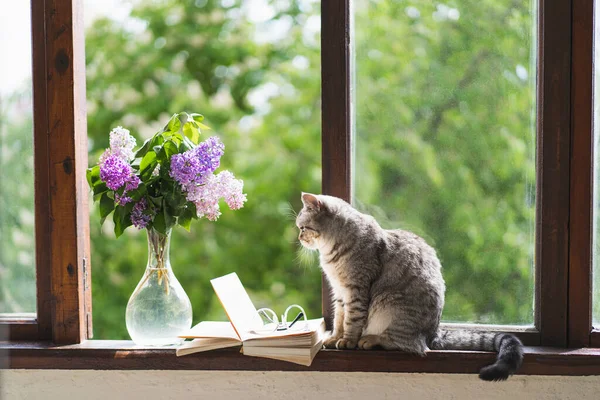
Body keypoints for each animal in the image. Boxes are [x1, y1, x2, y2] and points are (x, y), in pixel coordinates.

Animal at [298, 192, 524, 380]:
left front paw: (348, 341)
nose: (299, 237)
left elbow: (351, 321)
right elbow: (339, 319)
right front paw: (335, 337)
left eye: (302, 227)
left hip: (390, 305)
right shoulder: (339, 292)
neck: (331, 252)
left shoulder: (355, 291)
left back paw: (371, 339)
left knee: (408, 345)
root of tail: (433, 333)